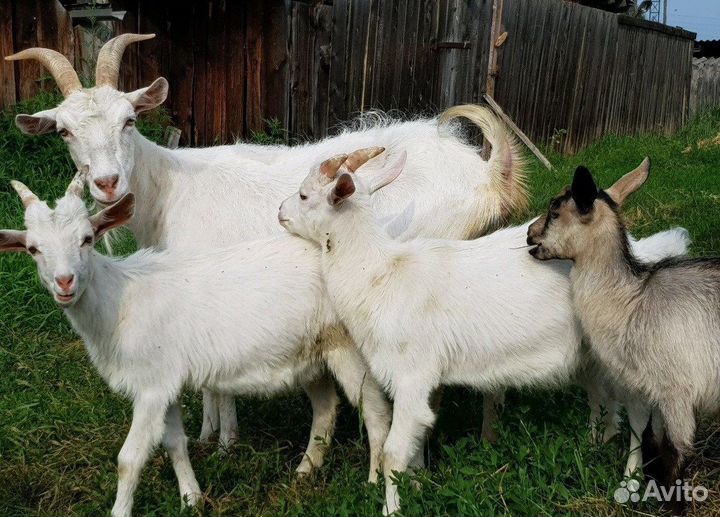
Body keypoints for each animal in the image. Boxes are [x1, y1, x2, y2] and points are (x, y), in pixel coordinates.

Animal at [0, 175, 395, 517]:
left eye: (87, 239)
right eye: (33, 249)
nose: (65, 282)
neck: (121, 301)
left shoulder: (151, 386)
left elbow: (129, 458)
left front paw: (120, 510)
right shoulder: (166, 382)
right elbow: (175, 442)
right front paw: (191, 498)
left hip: (347, 344)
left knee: (376, 414)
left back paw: (373, 483)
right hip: (312, 351)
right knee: (326, 409)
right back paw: (304, 472)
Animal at [6, 34, 529, 458]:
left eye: (130, 120)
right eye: (65, 131)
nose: (108, 183)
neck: (171, 189)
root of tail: (488, 176)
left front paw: (222, 441)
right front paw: (208, 436)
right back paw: (489, 439)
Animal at [278, 149, 691, 515]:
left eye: (304, 194)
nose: (280, 213)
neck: (381, 274)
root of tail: (642, 256)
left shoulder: (413, 373)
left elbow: (396, 449)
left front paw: (391, 508)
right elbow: (418, 437)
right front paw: (418, 485)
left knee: (637, 412)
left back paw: (629, 480)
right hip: (588, 356)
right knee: (603, 396)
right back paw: (596, 443)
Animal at [528, 160, 720, 514]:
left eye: (555, 210)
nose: (529, 235)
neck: (630, 302)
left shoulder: (677, 391)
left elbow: (677, 450)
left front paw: (673, 504)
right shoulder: (643, 387)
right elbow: (644, 433)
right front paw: (634, 480)